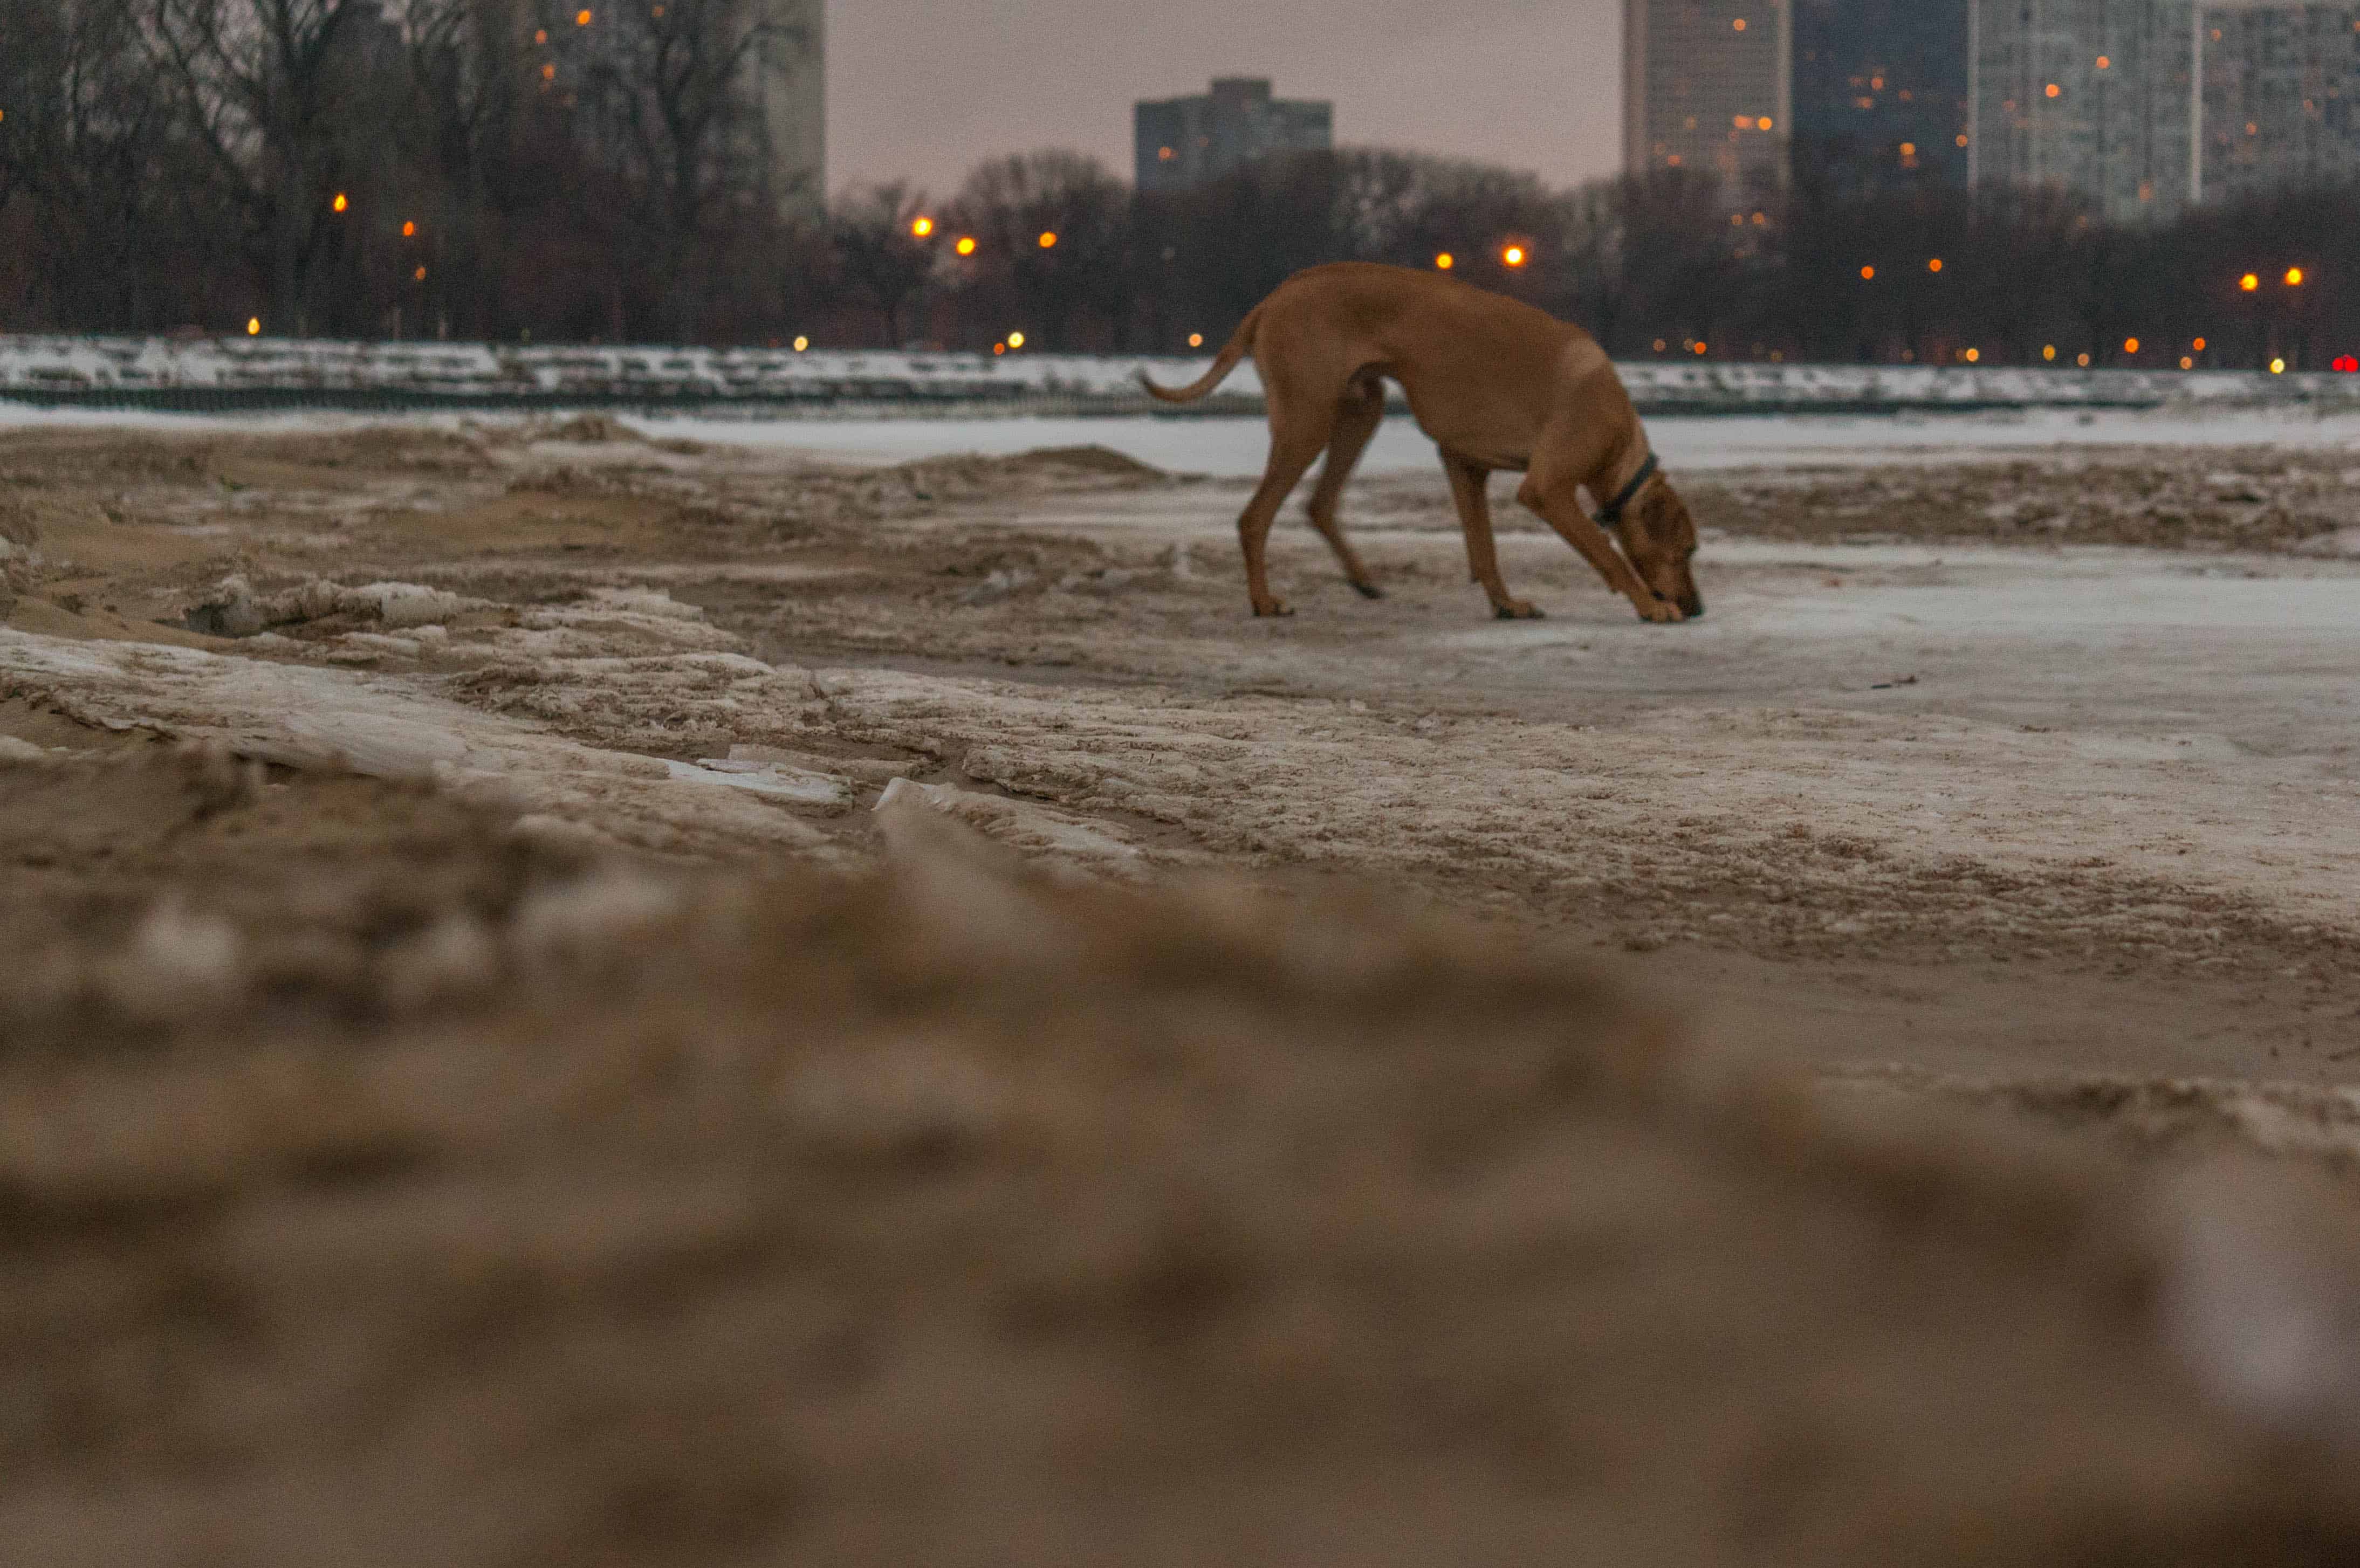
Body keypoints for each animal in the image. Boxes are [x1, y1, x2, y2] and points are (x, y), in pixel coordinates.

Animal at [1137, 259, 1699, 622]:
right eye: (1687, 550)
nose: (1698, 608)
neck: (1618, 435)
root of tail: (1275, 296)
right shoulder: (1546, 489)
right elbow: (1606, 551)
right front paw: (1651, 606)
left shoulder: (1465, 464)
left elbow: (1484, 547)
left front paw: (1506, 604)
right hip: (1306, 421)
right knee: (1254, 518)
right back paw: (1265, 602)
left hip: (1361, 410)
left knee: (1320, 503)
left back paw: (1362, 579)